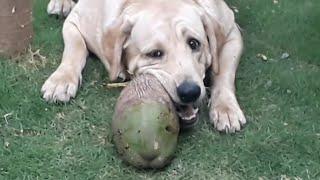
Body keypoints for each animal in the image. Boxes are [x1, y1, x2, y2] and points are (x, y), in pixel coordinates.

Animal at [43, 0, 248, 132]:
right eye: (155, 53)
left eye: (194, 43)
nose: (190, 92)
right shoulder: (75, 21)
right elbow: (74, 48)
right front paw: (61, 80)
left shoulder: (231, 32)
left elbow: (224, 74)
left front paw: (226, 108)